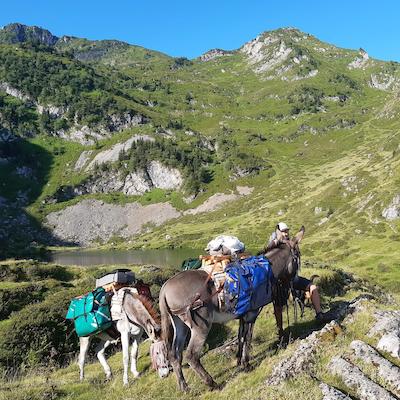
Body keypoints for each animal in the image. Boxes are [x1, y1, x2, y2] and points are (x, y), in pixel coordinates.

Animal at [158, 227, 304, 392]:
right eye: (297, 256)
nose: (296, 282)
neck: (265, 269)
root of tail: (164, 289)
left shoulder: (242, 314)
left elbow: (241, 336)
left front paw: (239, 361)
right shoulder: (252, 313)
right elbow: (248, 337)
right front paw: (246, 364)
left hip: (180, 325)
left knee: (175, 354)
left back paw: (184, 387)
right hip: (201, 326)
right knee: (191, 355)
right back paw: (212, 383)